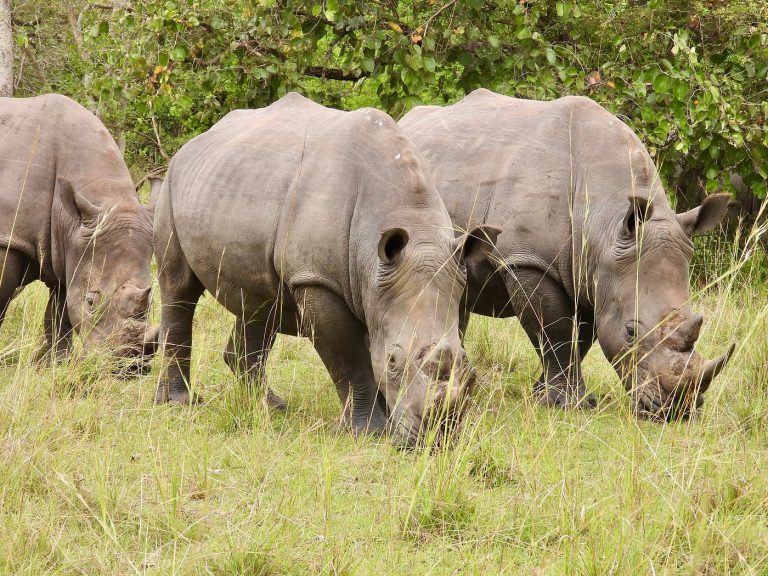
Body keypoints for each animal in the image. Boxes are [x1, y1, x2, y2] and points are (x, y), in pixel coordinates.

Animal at [0, 94, 157, 365]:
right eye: (91, 301)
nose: (129, 367)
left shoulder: (69, 249)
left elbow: (60, 318)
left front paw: (56, 364)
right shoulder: (9, 238)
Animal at [153, 93, 499, 444]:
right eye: (392, 361)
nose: (436, 440)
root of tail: (195, 143)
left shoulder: (385, 284)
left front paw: (388, 424)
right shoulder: (317, 280)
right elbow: (352, 360)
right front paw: (368, 431)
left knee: (260, 304)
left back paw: (272, 407)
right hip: (170, 185)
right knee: (179, 288)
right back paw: (179, 402)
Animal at [400, 89, 734, 420]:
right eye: (630, 331)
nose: (676, 410)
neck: (605, 222)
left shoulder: (594, 271)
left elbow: (582, 337)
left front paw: (547, 394)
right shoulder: (529, 261)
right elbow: (554, 331)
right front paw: (566, 403)